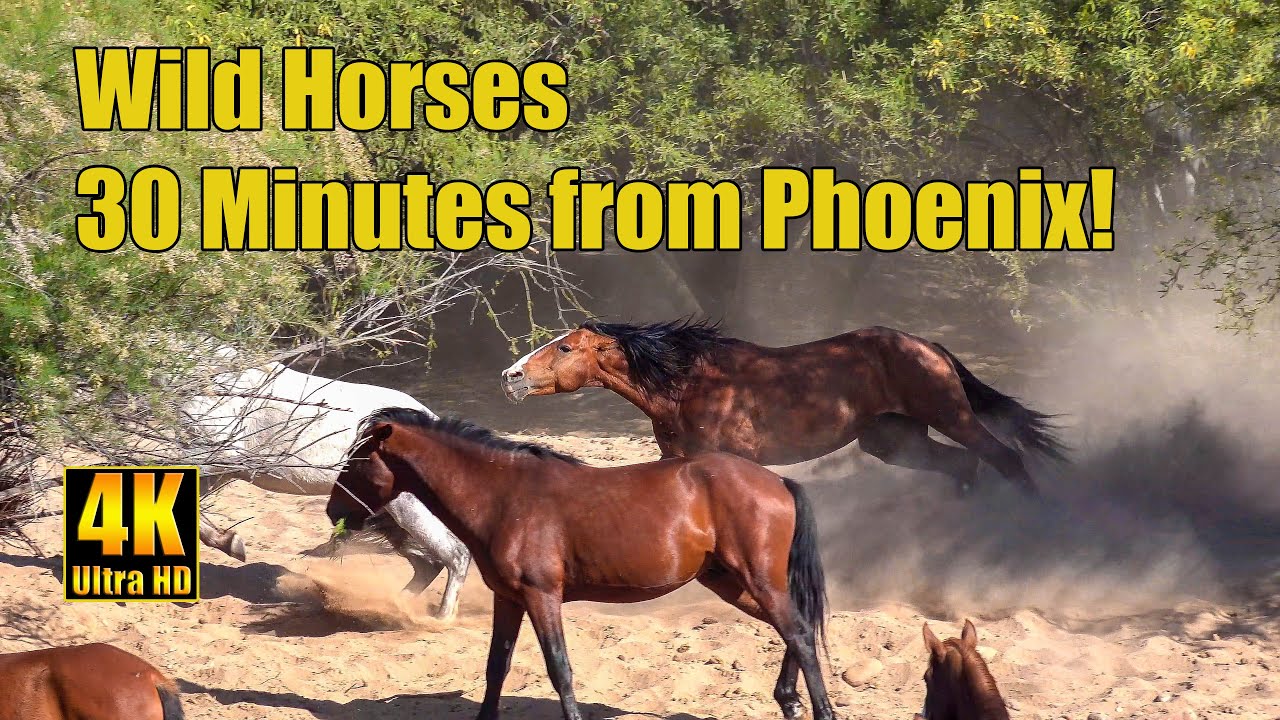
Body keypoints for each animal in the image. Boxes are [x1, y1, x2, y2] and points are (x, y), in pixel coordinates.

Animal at [183, 354, 470, 620]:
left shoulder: (220, 457)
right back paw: (393, 606)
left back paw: (438, 620)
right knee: (429, 563)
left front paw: (232, 545)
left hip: (408, 509)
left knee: (455, 555)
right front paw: (231, 544)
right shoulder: (220, 469)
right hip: (387, 516)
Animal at [325, 408, 833, 720]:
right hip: (734, 583)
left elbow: (560, 669)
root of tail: (778, 481)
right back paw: (787, 701)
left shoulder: (541, 596)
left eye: (357, 461)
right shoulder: (509, 599)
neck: (503, 496)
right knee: (796, 629)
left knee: (799, 633)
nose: (334, 512)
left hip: (756, 578)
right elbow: (496, 667)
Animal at [500, 318, 1065, 495]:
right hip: (892, 438)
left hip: (950, 415)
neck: (687, 384)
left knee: (1004, 457)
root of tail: (929, 346)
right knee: (964, 465)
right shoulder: (676, 460)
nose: (511, 376)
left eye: (565, 348)